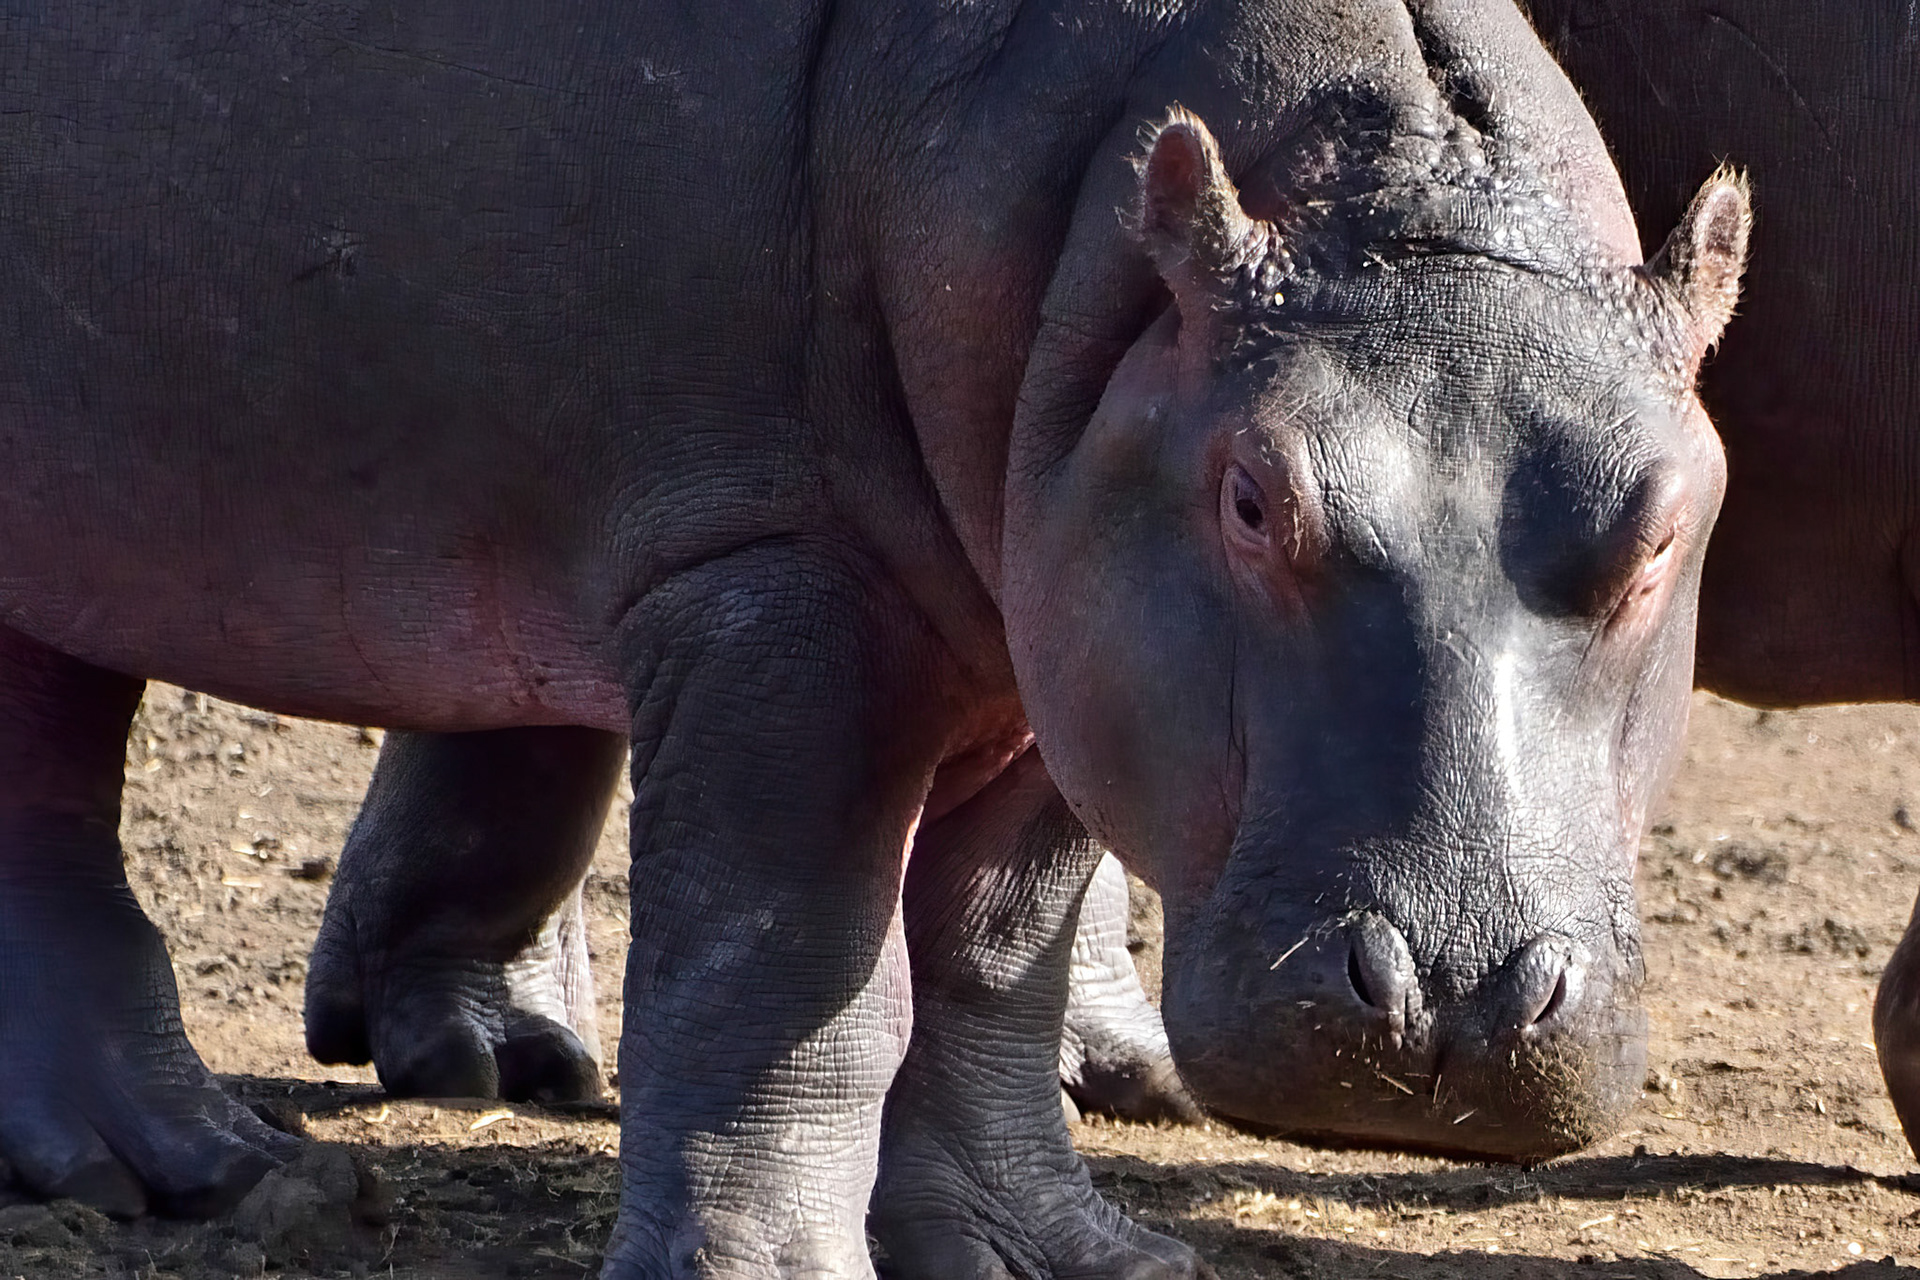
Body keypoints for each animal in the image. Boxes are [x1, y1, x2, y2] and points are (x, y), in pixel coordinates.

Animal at [0, 1, 1745, 1275]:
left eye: (1667, 516)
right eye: (1254, 496)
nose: (1457, 1003)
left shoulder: (1049, 646)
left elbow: (988, 959)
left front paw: (1059, 1260)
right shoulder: (776, 582)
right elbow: (782, 980)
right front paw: (774, 1272)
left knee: (49, 814)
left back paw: (196, 1175)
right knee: (61, 818)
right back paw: (217, 1177)